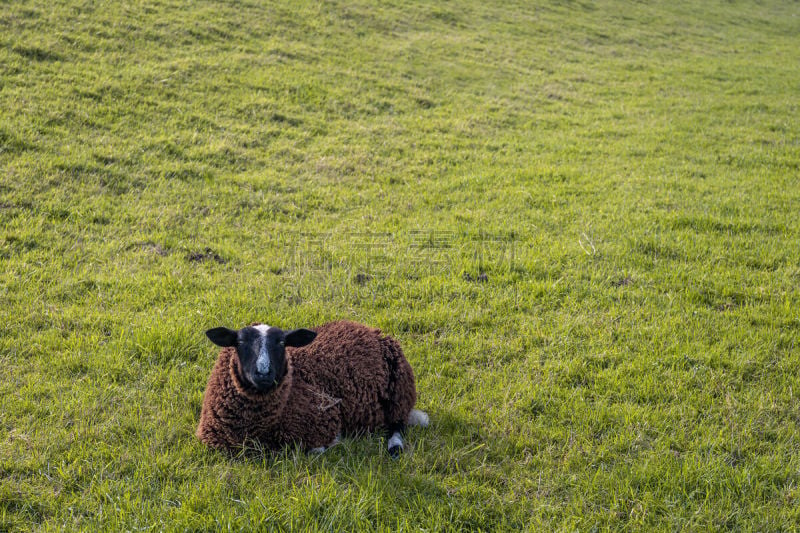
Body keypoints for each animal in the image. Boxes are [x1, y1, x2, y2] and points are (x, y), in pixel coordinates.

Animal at [196, 320, 428, 458]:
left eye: (282, 343)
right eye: (240, 342)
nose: (263, 373)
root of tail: (367, 328)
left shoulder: (324, 419)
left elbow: (310, 450)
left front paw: (331, 443)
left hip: (399, 393)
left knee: (398, 425)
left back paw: (395, 447)